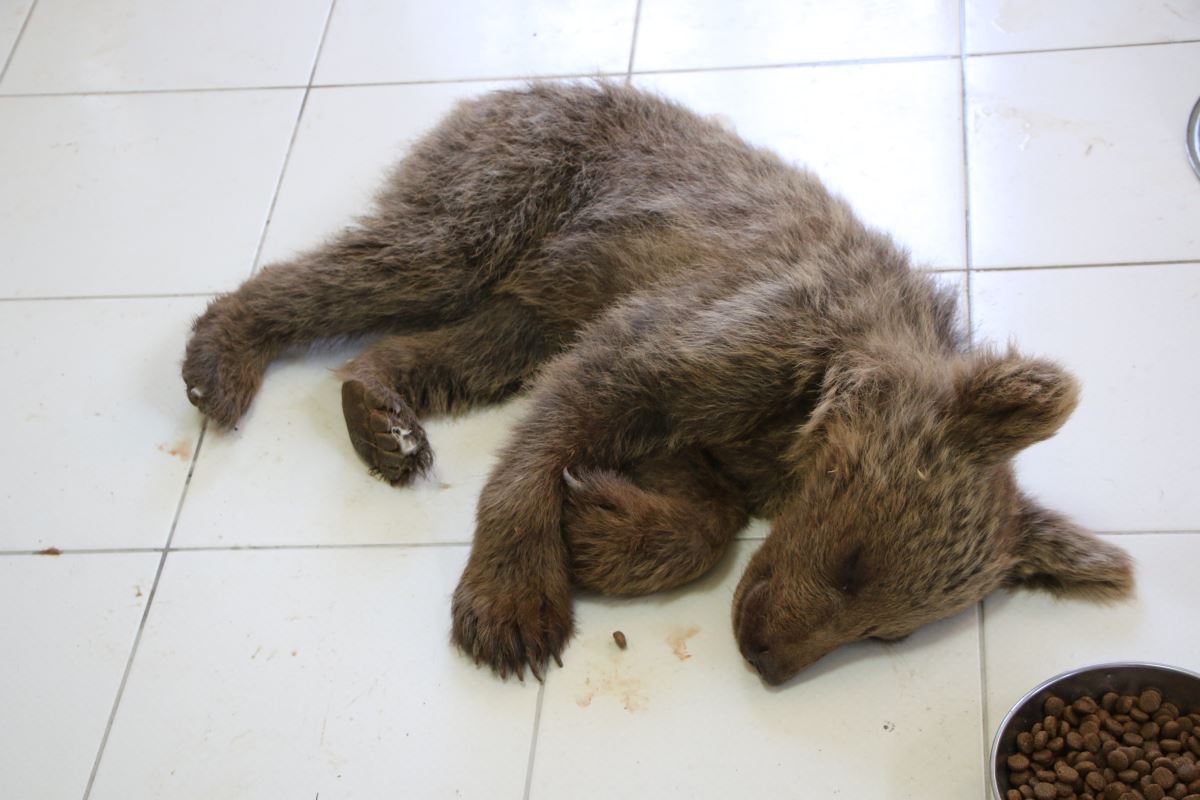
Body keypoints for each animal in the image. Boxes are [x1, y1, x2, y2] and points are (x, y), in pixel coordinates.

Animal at [182, 81, 1128, 686]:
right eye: (855, 563)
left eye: (889, 629)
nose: (766, 658)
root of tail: (499, 91)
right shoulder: (705, 341)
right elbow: (564, 425)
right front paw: (514, 597)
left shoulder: (712, 436)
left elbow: (699, 515)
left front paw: (595, 525)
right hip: (501, 203)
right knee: (372, 266)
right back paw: (222, 357)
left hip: (529, 302)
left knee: (448, 347)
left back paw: (383, 414)